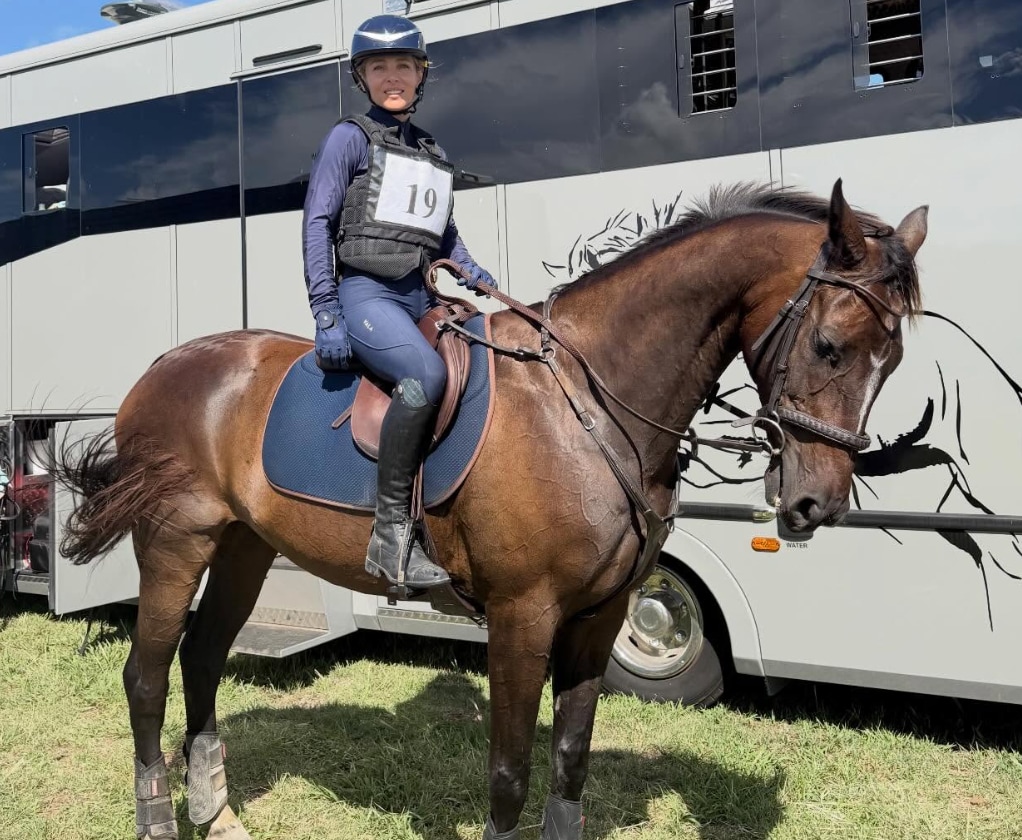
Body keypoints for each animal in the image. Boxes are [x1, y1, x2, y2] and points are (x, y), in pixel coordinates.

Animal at [56, 180, 927, 840]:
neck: (590, 402)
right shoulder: (522, 616)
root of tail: (163, 367)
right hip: (175, 542)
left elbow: (570, 762)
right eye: (829, 348)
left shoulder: (600, 617)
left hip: (243, 547)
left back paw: (218, 814)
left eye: (892, 359)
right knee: (146, 676)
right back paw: (159, 819)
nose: (817, 502)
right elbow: (510, 772)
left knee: (202, 659)